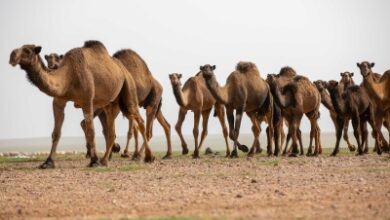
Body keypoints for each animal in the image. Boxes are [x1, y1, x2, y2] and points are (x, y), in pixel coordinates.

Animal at [9, 40, 154, 168]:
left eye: (27, 50)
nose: (12, 55)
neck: (68, 76)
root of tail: (123, 69)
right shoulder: (59, 101)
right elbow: (56, 132)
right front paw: (48, 162)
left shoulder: (87, 100)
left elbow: (90, 130)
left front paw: (94, 161)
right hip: (110, 104)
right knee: (111, 130)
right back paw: (105, 160)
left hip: (128, 89)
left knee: (140, 121)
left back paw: (147, 157)